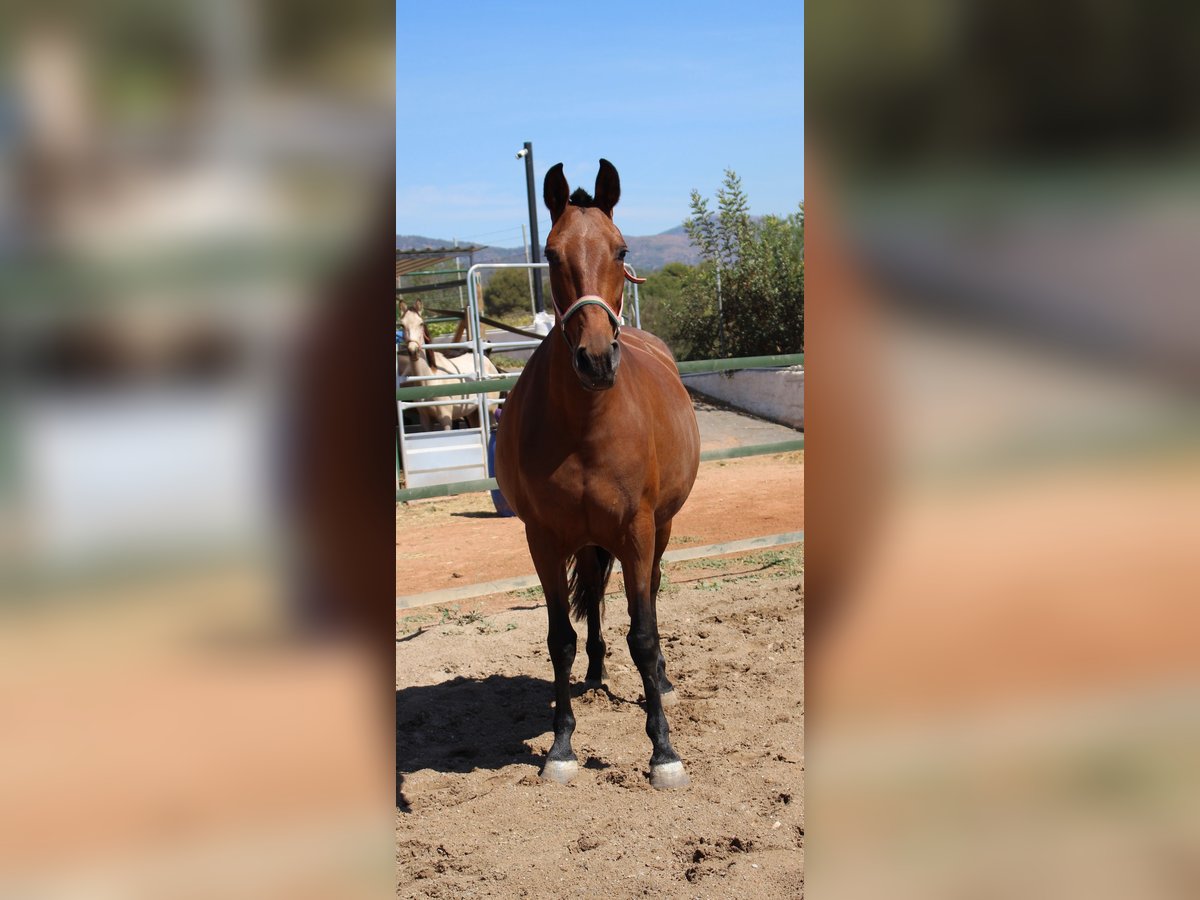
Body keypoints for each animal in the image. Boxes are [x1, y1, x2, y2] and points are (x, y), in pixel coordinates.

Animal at [496, 160, 700, 787]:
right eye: (551, 253)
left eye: (622, 249)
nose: (595, 360)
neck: (586, 426)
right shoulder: (544, 539)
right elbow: (559, 638)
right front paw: (561, 746)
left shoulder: (636, 531)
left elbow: (644, 633)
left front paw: (663, 751)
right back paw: (592, 675)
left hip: (660, 531)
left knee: (650, 597)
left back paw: (661, 680)